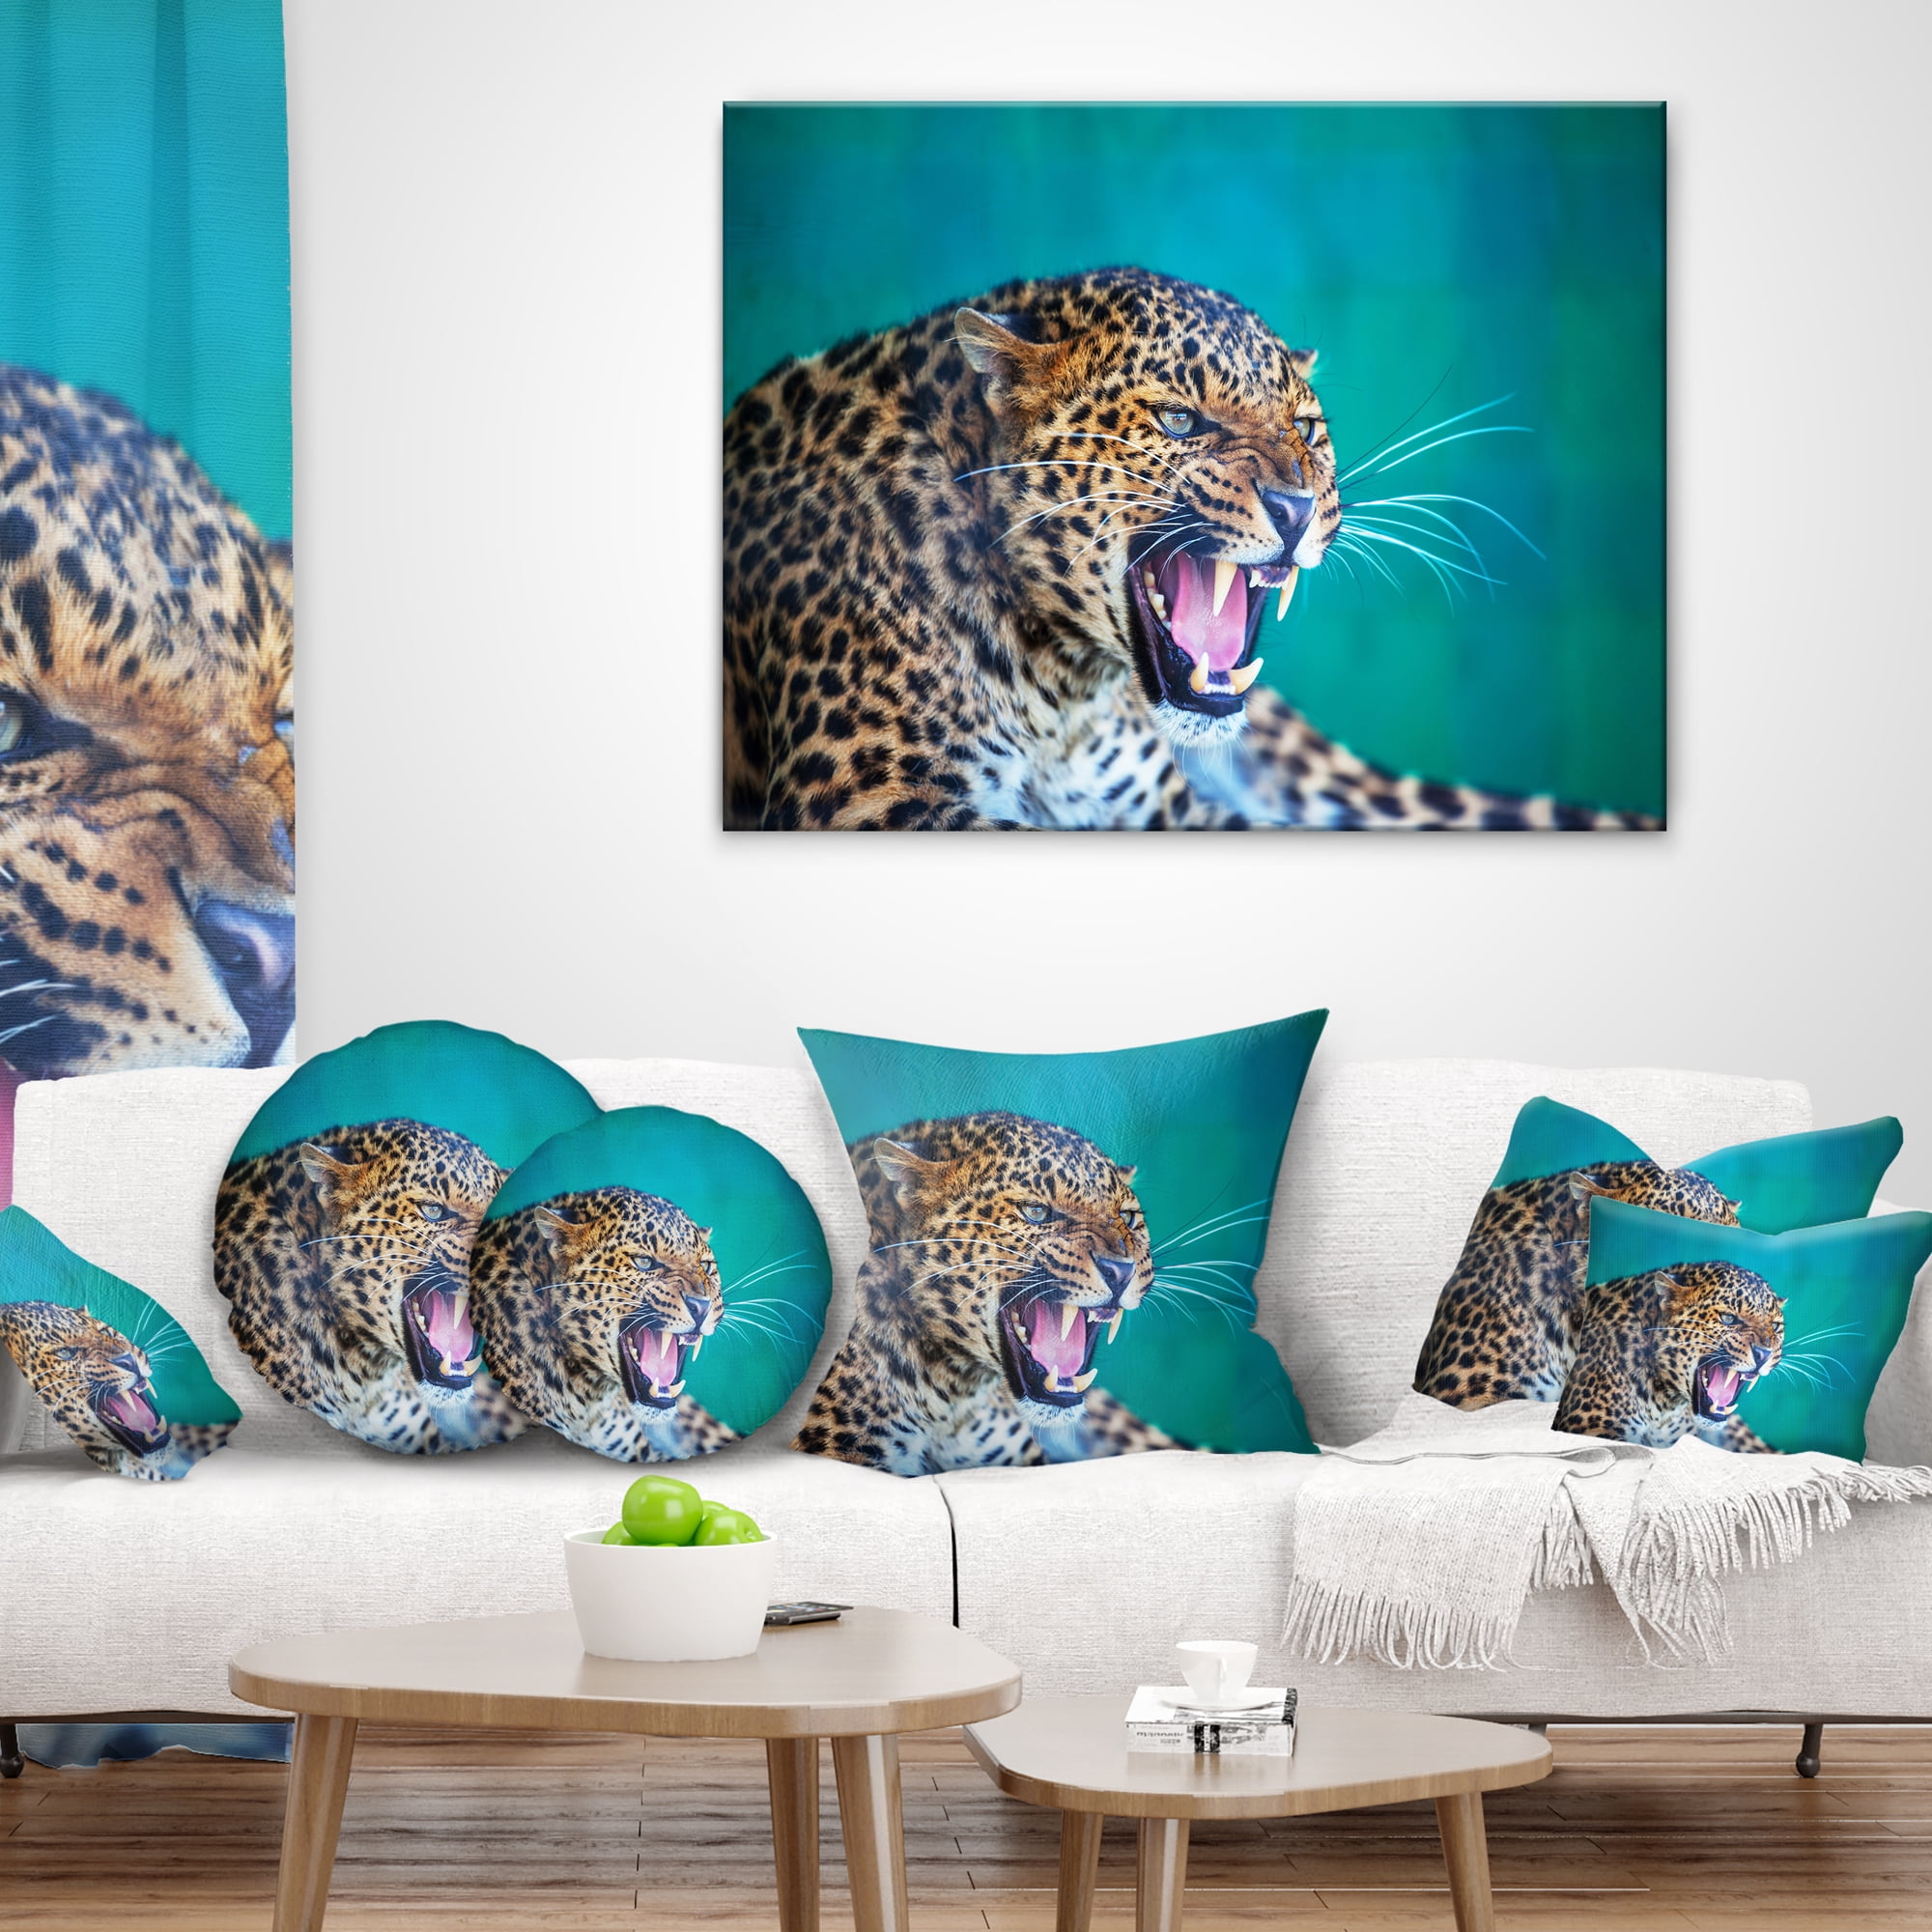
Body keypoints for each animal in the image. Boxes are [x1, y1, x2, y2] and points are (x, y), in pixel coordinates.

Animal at [723, 266, 1656, 831]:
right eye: (1179, 421)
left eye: (1304, 428)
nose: (1296, 506)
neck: (1060, 695)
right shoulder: (866, 801)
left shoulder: (1171, 812)